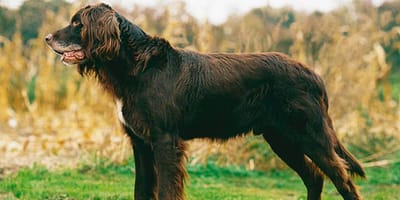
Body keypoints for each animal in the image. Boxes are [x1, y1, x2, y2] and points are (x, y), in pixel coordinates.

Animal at [45, 3, 364, 200]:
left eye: (77, 23)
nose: (47, 37)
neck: (137, 67)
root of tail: (314, 74)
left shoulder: (165, 140)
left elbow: (166, 190)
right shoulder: (140, 141)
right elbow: (142, 189)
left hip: (310, 135)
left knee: (342, 180)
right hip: (282, 138)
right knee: (315, 178)